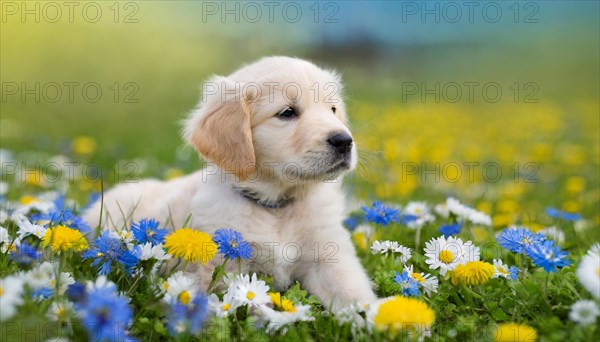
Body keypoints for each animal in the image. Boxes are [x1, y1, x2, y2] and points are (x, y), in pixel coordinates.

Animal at [82, 56, 378, 310]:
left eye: (333, 109)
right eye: (287, 113)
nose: (344, 141)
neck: (276, 205)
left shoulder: (328, 254)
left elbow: (352, 293)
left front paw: (375, 319)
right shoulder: (224, 266)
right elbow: (246, 305)